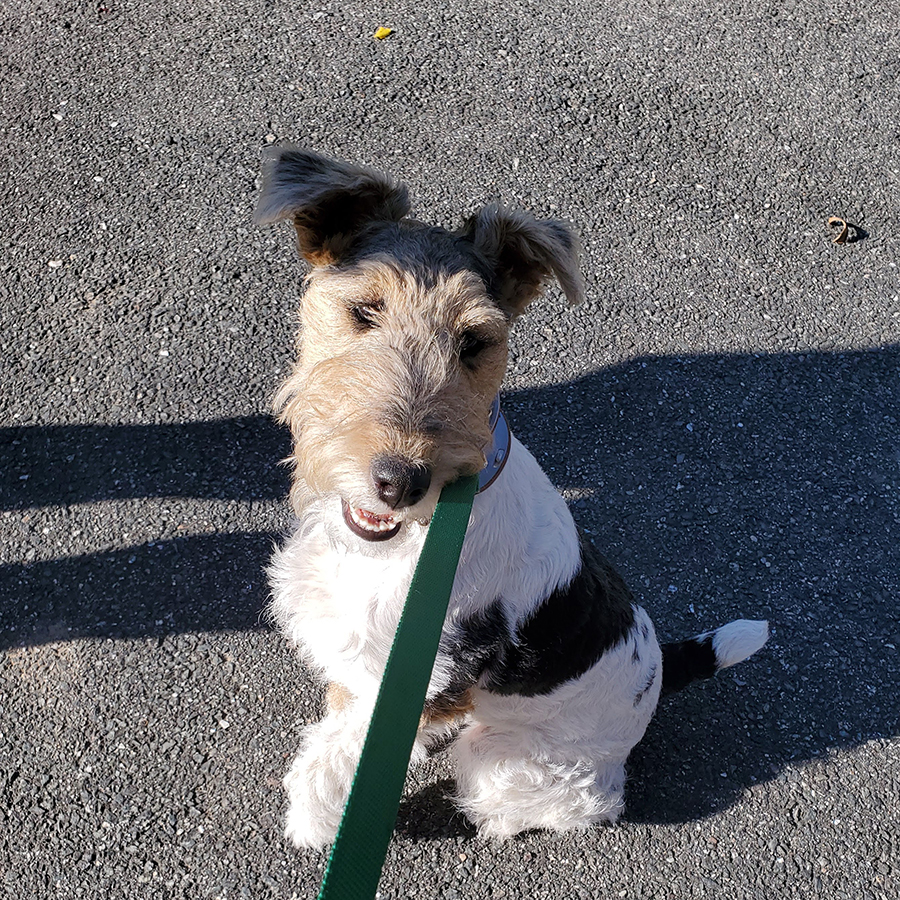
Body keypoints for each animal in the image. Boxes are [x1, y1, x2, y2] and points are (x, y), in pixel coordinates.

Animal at [253, 146, 768, 844]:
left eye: (475, 341)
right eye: (364, 310)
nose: (399, 481)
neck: (411, 544)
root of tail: (662, 667)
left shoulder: (413, 682)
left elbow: (344, 757)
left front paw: (312, 820)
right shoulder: (361, 662)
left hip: (513, 761)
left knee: (572, 800)